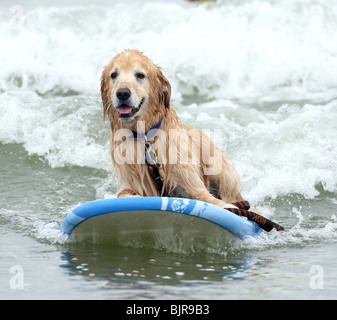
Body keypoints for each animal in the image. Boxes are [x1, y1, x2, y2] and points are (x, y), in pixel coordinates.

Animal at [100, 48, 244, 210]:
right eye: (113, 75)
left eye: (140, 75)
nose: (122, 93)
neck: (145, 135)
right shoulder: (130, 181)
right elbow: (127, 195)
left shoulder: (190, 182)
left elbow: (213, 200)